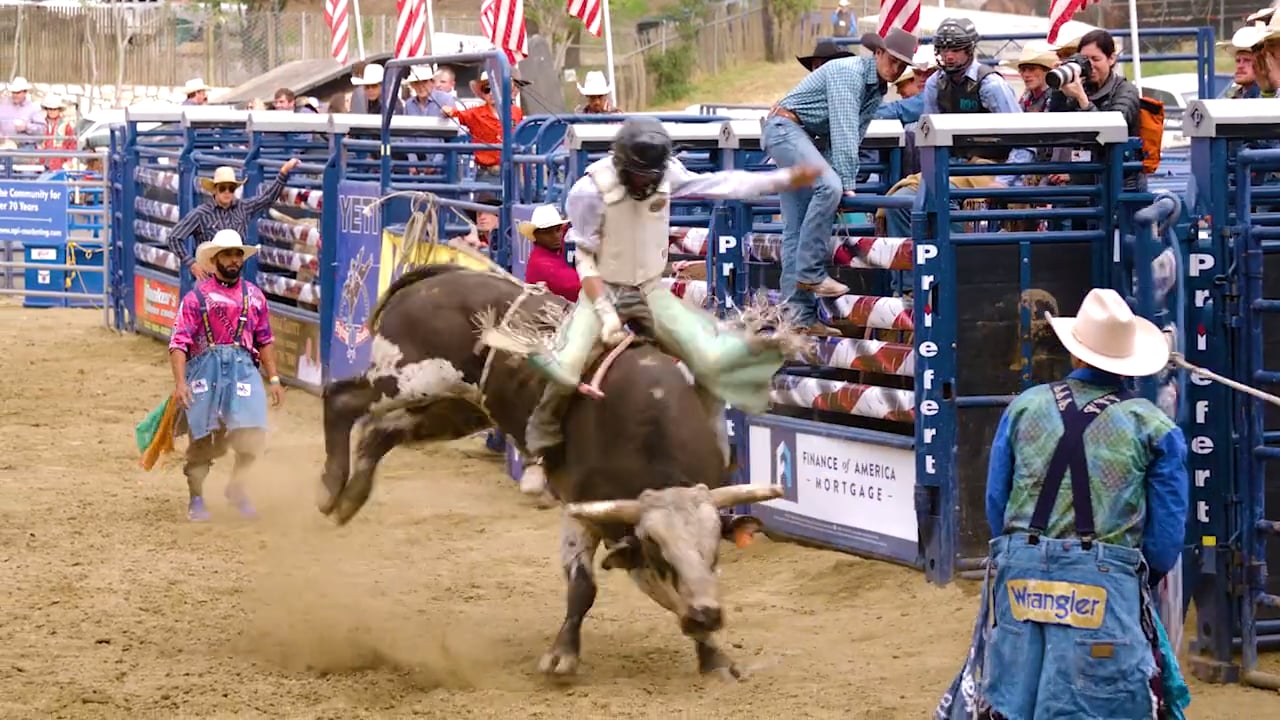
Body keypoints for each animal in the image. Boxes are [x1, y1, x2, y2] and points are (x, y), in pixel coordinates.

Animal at [317, 260, 788, 676]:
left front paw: (713, 656)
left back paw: (351, 499)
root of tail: (440, 278)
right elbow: (583, 588)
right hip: (408, 380)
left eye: (714, 550)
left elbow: (662, 593)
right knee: (340, 398)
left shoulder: (627, 530)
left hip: (453, 409)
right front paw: (562, 657)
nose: (707, 615)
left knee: (380, 433)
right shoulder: (585, 512)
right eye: (661, 549)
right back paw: (330, 489)